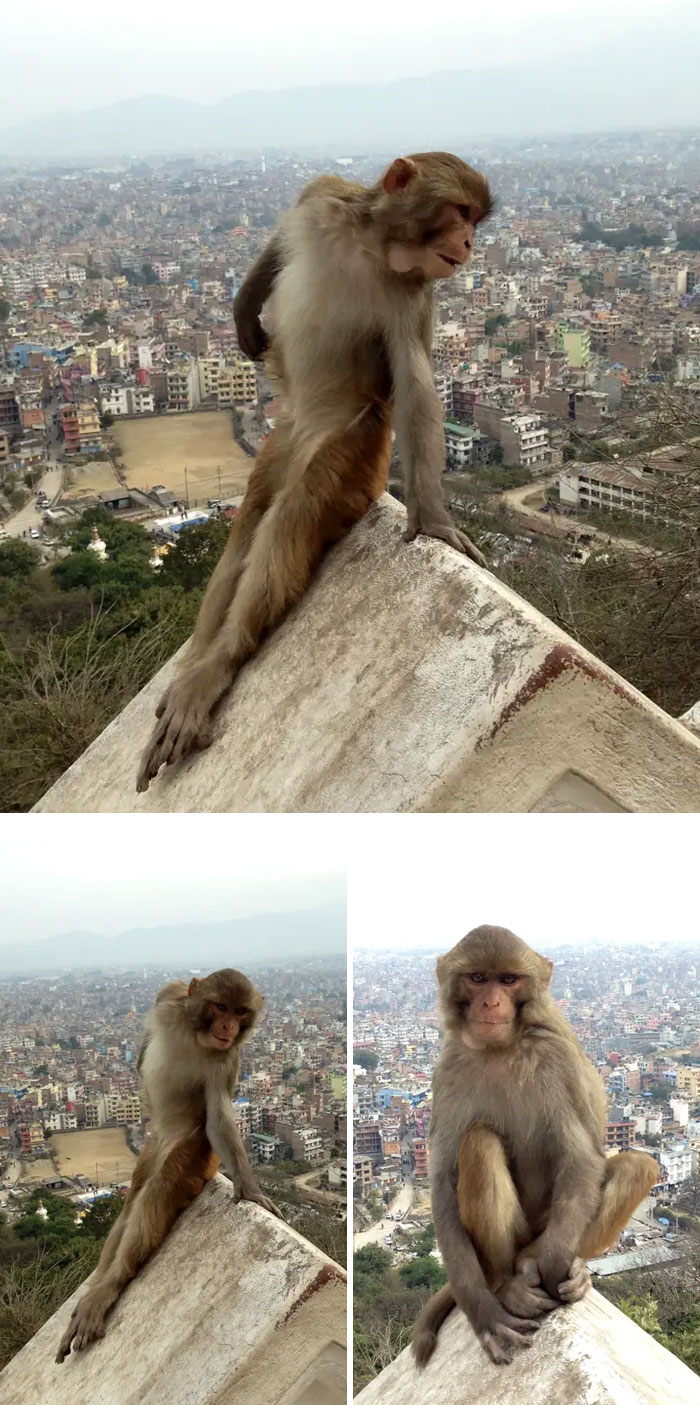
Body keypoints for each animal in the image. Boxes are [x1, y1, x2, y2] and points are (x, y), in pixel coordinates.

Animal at [56, 968, 281, 1363]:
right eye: (221, 1006)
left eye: (241, 1012)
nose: (228, 1025)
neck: (195, 1034)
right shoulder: (169, 997)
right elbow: (146, 1043)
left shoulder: (227, 1060)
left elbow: (218, 1117)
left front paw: (251, 1190)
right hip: (150, 1150)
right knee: (132, 1202)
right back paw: (99, 1285)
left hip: (194, 1152)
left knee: (158, 1188)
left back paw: (108, 1287)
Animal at [136, 152, 493, 791]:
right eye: (460, 211)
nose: (471, 242)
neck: (372, 245)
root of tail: (302, 434)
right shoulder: (323, 198)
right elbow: (281, 242)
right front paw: (244, 312)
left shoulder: (412, 296)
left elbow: (417, 390)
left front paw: (433, 519)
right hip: (279, 443)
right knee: (251, 520)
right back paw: (199, 663)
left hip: (353, 449)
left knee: (294, 509)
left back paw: (216, 665)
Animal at [412, 926, 659, 1368]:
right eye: (478, 978)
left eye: (509, 980)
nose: (491, 1002)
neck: (502, 1046)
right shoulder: (448, 1069)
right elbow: (441, 1179)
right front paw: (484, 1312)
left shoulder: (555, 1055)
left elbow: (580, 1155)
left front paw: (556, 1263)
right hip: (515, 1235)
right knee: (478, 1142)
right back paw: (504, 1285)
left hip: (548, 1224)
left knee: (637, 1168)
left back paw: (545, 1263)